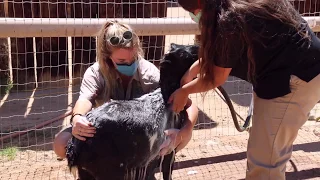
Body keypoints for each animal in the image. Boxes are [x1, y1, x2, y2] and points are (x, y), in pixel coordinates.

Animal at [66, 43, 199, 180]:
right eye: (184, 55)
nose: (198, 48)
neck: (164, 99)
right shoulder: (168, 151)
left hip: (86, 172)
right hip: (111, 170)